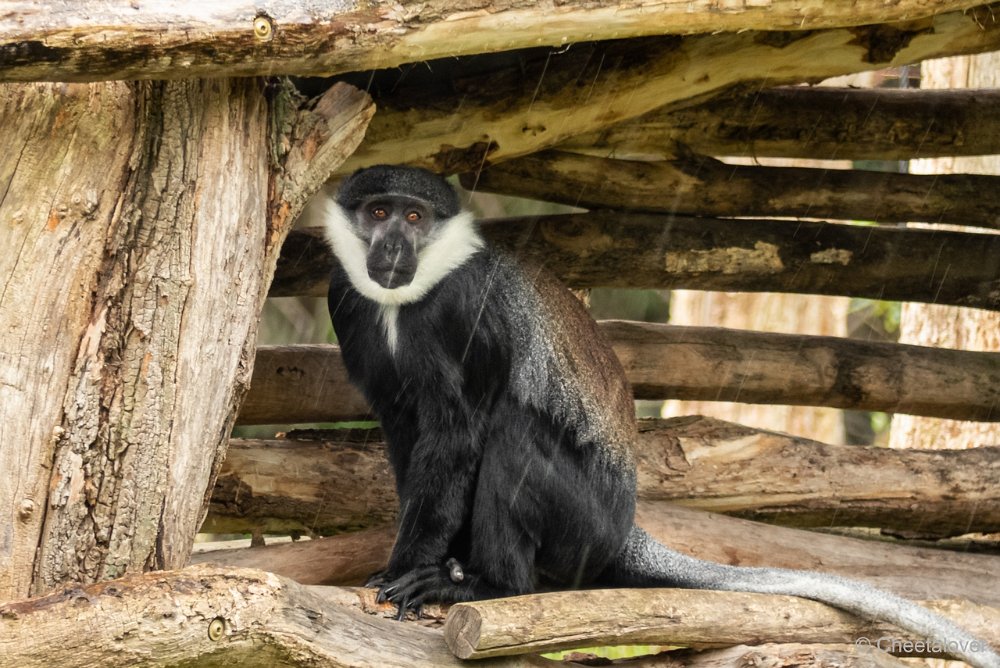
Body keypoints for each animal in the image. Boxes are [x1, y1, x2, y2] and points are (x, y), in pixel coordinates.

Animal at [324, 166, 996, 668]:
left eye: (414, 218)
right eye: (378, 213)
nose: (391, 246)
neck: (406, 301)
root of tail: (626, 530)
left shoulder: (469, 309)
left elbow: (458, 434)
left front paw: (410, 571)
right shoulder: (345, 301)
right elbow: (404, 432)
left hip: (584, 526)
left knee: (513, 436)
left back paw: (491, 586)